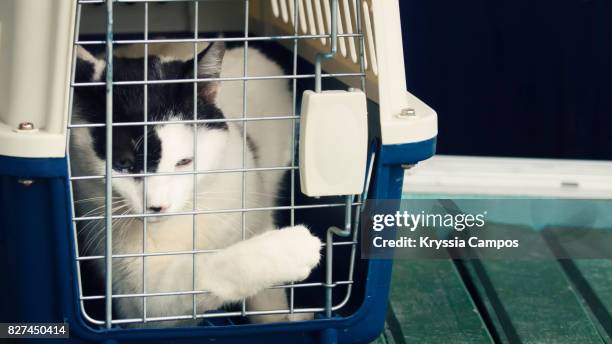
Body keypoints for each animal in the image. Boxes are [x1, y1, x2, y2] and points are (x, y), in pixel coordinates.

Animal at [70, 41, 322, 326]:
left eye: (184, 161)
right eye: (123, 163)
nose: (158, 206)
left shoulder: (255, 216)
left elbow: (269, 302)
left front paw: (279, 318)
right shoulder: (138, 301)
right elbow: (199, 273)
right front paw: (288, 248)